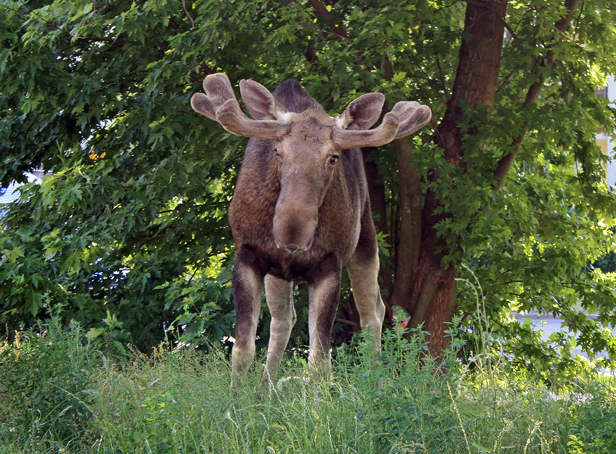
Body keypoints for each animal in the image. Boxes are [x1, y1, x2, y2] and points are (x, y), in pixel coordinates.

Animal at [190, 73, 430, 384]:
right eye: (278, 152)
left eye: (333, 157)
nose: (291, 232)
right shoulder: (248, 255)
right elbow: (242, 349)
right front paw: (237, 393)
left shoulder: (329, 264)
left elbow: (319, 360)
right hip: (278, 272)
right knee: (284, 319)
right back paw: (267, 385)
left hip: (366, 241)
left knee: (373, 311)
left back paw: (374, 380)